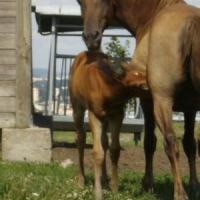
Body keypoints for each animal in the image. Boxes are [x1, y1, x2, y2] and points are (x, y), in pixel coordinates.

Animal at [69, 51, 147, 200]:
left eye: (145, 74)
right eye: (138, 86)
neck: (109, 94)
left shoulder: (117, 115)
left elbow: (114, 149)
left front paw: (114, 187)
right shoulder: (94, 114)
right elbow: (97, 152)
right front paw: (98, 192)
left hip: (105, 119)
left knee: (104, 140)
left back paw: (104, 178)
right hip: (77, 105)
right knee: (80, 137)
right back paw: (81, 179)